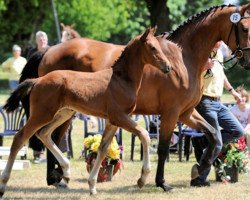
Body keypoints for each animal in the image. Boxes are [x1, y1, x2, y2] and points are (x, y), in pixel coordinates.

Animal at [0, 26, 170, 195]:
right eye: (152, 47)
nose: (168, 67)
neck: (121, 80)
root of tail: (38, 80)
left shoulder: (112, 121)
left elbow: (102, 149)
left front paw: (92, 186)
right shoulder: (119, 116)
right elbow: (145, 134)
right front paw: (142, 179)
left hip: (64, 113)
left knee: (44, 133)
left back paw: (66, 172)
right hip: (42, 114)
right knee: (20, 138)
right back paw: (3, 184)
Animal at [20, 3, 250, 191]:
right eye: (245, 28)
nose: (247, 60)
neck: (182, 58)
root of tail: (48, 51)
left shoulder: (186, 113)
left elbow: (214, 136)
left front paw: (197, 170)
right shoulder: (171, 113)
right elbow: (163, 148)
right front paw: (161, 182)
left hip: (66, 110)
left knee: (52, 136)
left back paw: (58, 177)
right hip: (62, 111)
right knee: (53, 136)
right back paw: (56, 178)